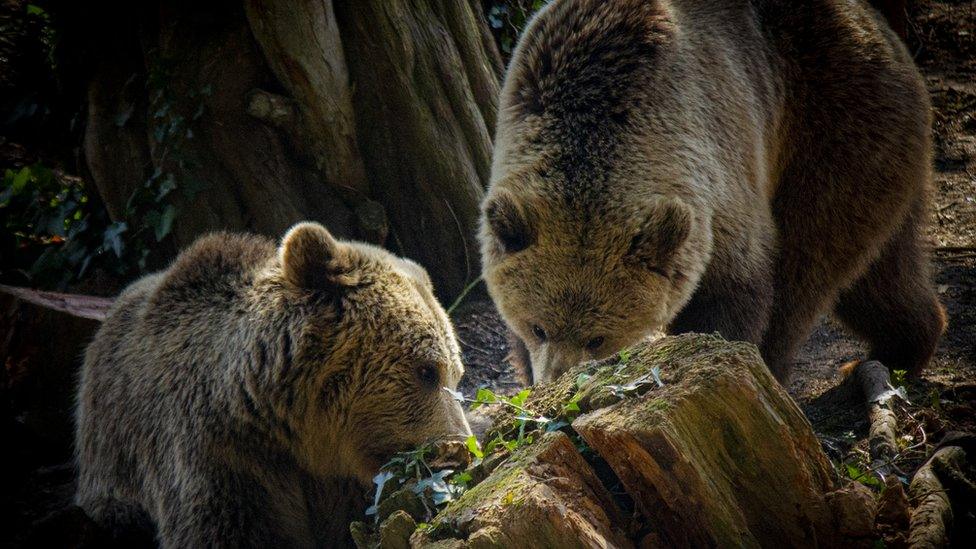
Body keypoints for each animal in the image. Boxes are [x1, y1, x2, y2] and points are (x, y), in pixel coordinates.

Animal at [480, 0, 944, 386]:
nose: (554, 380)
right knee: (882, 272)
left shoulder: (718, 168)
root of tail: (883, 32)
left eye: (598, 337)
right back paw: (900, 351)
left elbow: (733, 291)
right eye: (538, 326)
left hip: (834, 128)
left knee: (807, 263)